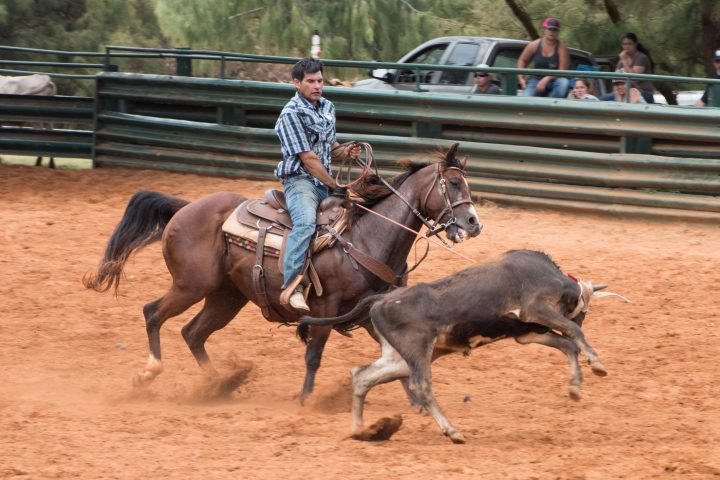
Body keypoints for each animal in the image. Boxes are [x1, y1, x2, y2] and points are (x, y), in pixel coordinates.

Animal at [83, 143, 483, 402]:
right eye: (452, 184)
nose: (473, 223)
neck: (368, 236)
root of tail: (185, 207)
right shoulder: (326, 307)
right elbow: (314, 355)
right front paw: (305, 399)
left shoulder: (370, 310)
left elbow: (398, 353)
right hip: (191, 285)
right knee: (153, 313)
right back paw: (150, 372)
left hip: (226, 296)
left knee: (193, 333)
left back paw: (218, 384)